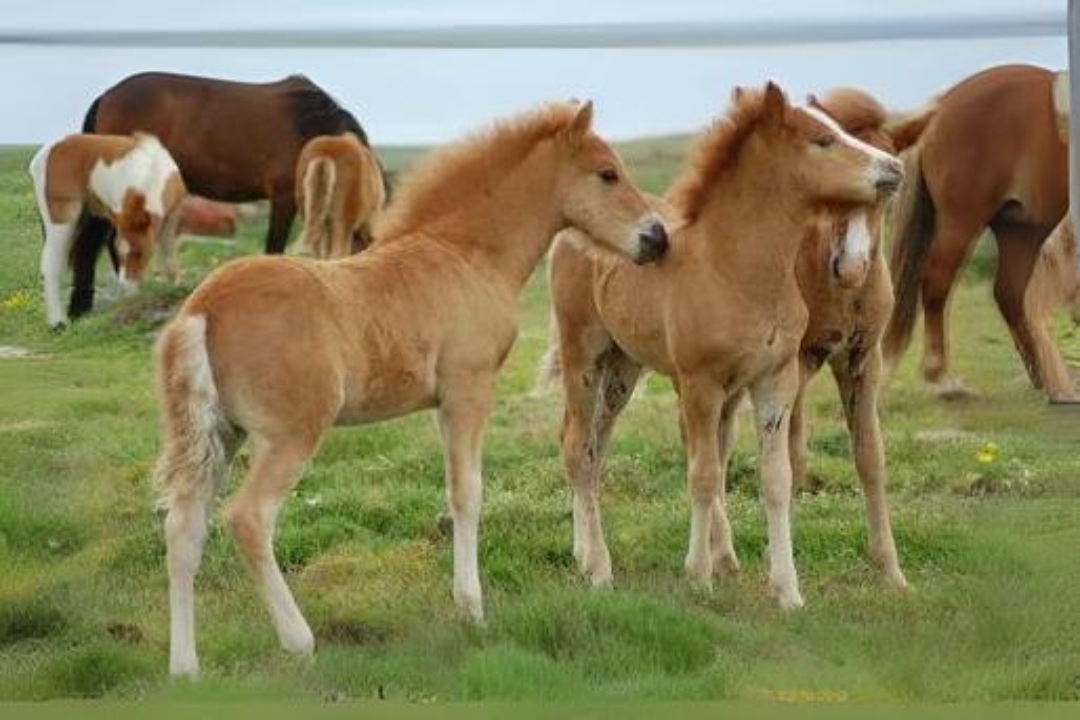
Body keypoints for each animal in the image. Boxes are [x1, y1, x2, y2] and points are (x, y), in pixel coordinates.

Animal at [27, 132, 187, 325]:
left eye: (139, 253)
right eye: (122, 253)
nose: (125, 286)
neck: (151, 169)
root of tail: (43, 154)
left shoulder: (172, 216)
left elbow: (168, 254)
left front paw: (174, 285)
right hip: (62, 219)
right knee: (50, 264)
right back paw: (58, 323)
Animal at [156, 99, 669, 677]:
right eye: (607, 174)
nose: (657, 238)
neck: (464, 253)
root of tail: (202, 310)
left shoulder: (441, 402)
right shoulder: (468, 391)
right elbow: (467, 493)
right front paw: (471, 610)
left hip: (221, 434)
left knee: (183, 528)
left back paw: (185, 668)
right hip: (290, 433)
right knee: (248, 517)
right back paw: (298, 640)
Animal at [544, 84, 898, 613]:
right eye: (822, 139)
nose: (893, 169)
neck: (733, 267)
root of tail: (570, 230)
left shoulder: (775, 380)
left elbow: (777, 478)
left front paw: (787, 591)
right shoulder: (701, 385)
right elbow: (705, 474)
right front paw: (699, 577)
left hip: (623, 366)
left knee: (594, 446)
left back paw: (584, 552)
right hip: (582, 356)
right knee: (574, 447)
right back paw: (598, 569)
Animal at [885, 63, 1071, 397]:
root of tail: (940, 109)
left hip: (1020, 229)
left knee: (1008, 293)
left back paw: (1045, 379)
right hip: (965, 223)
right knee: (936, 281)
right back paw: (942, 378)